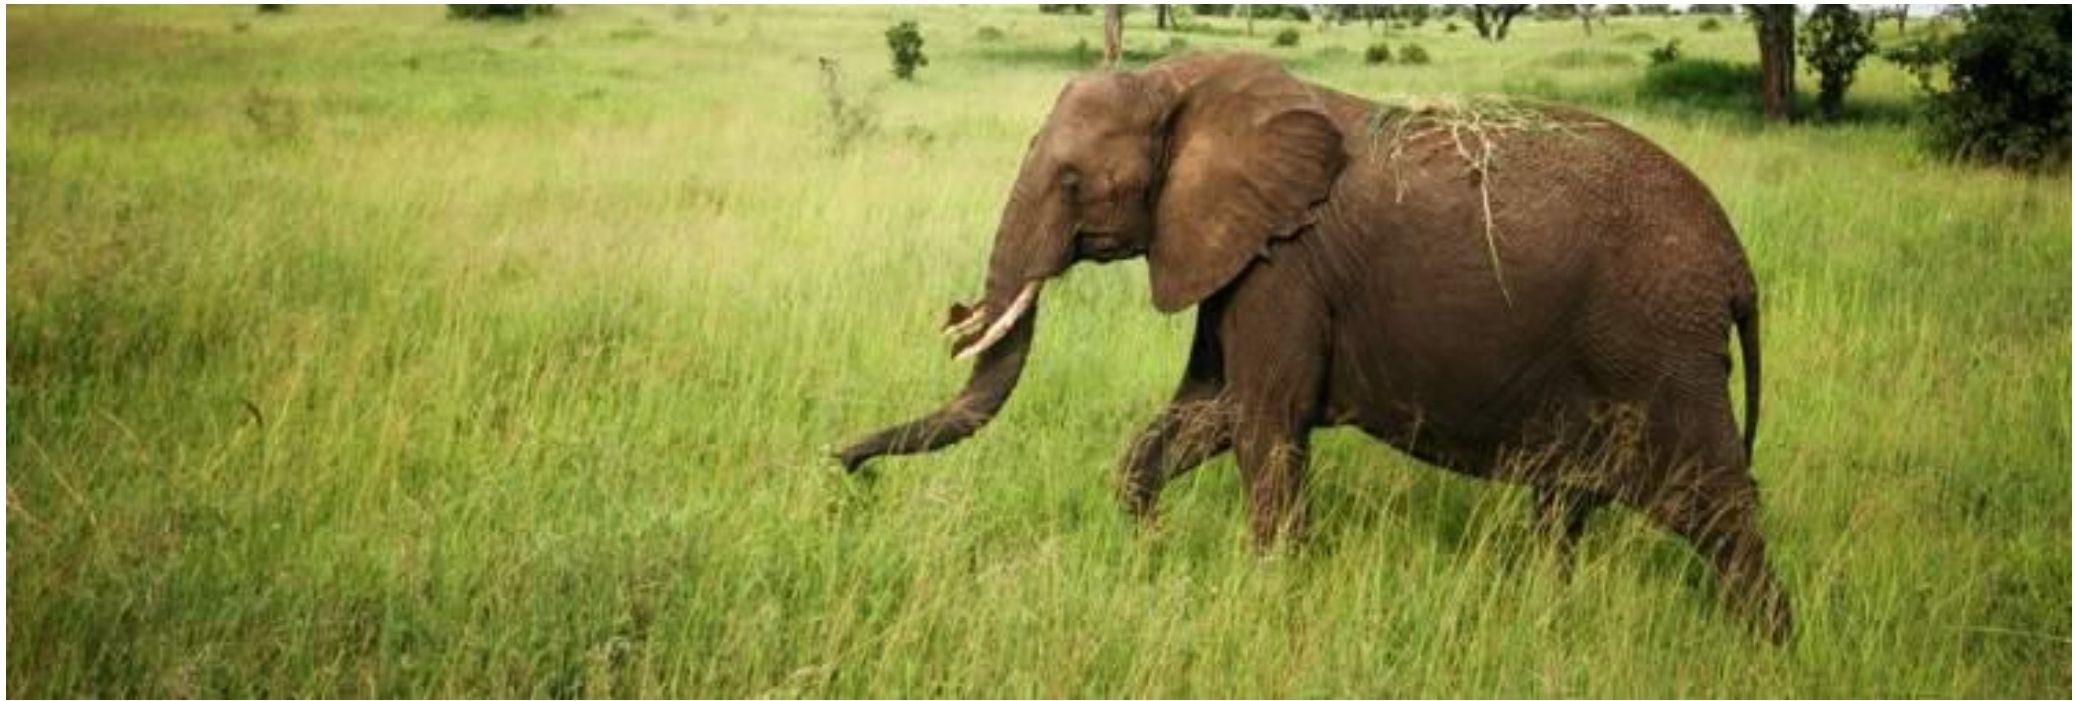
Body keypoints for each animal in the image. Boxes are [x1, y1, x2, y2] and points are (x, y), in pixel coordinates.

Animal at [832, 53, 1789, 640]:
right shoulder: (1236, 254)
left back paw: (1768, 649)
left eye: (1071, 182)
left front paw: (1265, 594)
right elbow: (1204, 414)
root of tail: (1738, 265)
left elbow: (1265, 424)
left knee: (1719, 509)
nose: (845, 467)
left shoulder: (1283, 268)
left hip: (1656, 346)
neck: (1179, 79)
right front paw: (1152, 550)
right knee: (1565, 508)